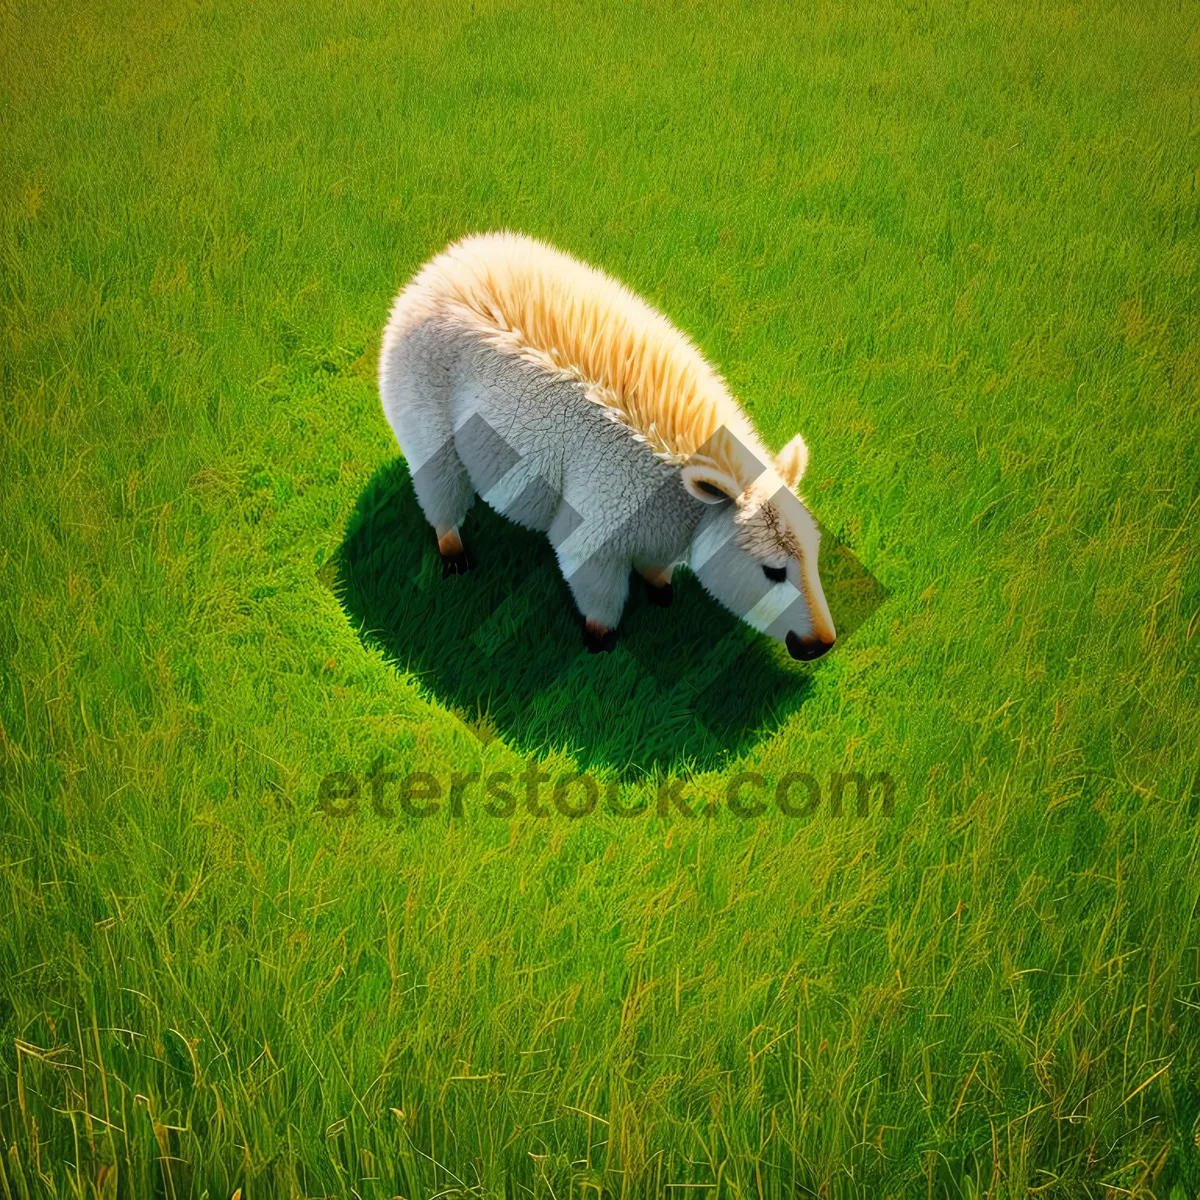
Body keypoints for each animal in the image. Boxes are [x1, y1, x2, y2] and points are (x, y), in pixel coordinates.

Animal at [376, 229, 835, 662]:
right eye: (773, 571)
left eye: (814, 555)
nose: (821, 643)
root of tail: (433, 270)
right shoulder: (598, 520)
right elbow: (598, 592)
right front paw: (602, 642)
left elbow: (656, 568)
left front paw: (661, 589)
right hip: (424, 417)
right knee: (439, 488)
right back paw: (454, 553)